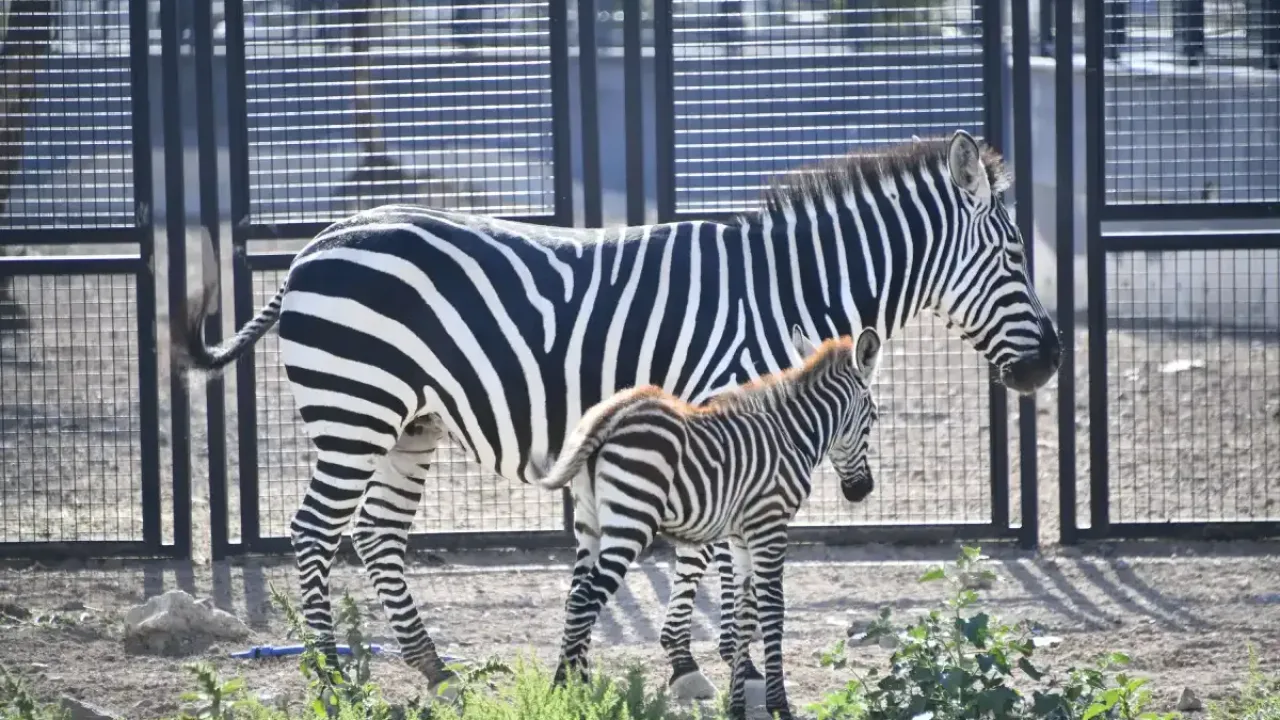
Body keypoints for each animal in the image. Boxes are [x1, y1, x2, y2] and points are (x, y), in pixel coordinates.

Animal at [538, 327, 884, 720]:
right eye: (873, 418)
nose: (862, 490)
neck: (792, 434)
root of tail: (612, 412)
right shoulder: (770, 525)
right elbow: (772, 609)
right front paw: (778, 704)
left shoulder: (741, 536)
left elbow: (744, 614)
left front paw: (737, 704)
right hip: (631, 522)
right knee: (585, 600)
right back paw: (563, 694)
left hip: (589, 524)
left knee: (575, 597)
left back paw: (574, 691)